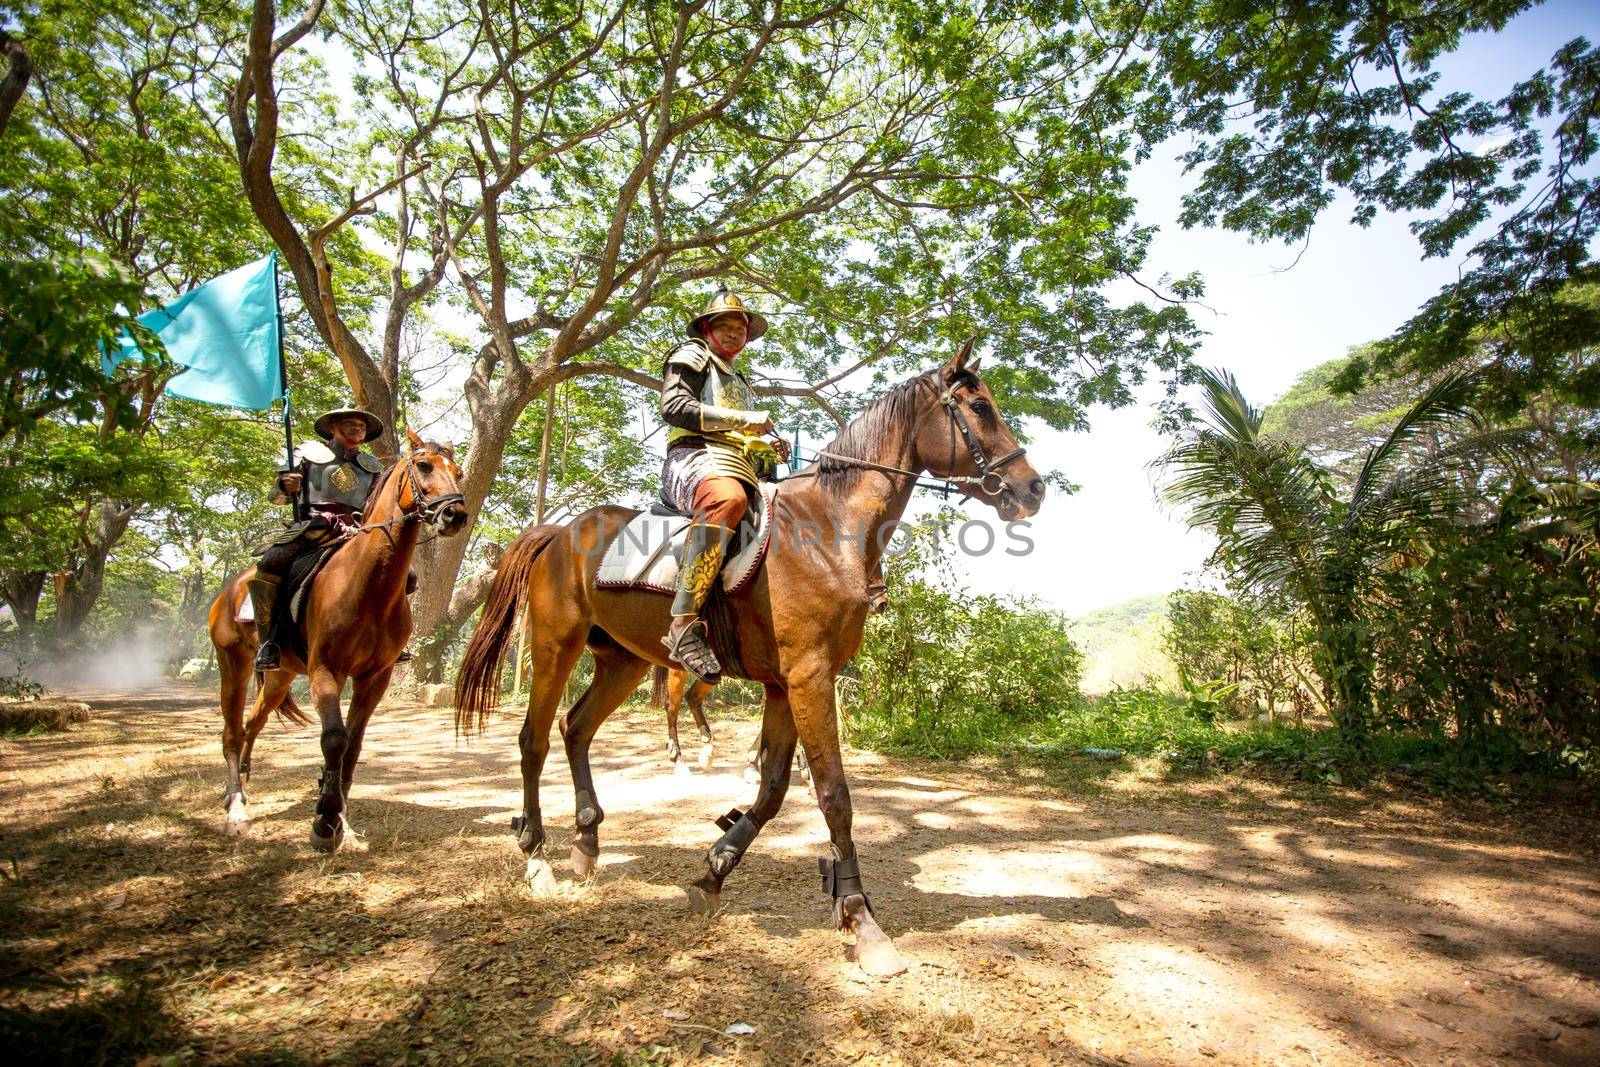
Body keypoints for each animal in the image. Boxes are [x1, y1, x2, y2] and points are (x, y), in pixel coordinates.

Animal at [209, 425, 467, 851]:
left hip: (280, 676)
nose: (455, 514)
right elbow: (334, 738)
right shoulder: (326, 670)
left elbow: (354, 743)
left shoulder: (374, 677)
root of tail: (230, 590)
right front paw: (326, 821)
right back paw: (235, 807)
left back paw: (245, 779)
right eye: (424, 466)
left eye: (458, 473)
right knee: (231, 730)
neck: (367, 585)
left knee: (252, 721)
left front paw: (339, 811)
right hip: (233, 662)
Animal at [457, 342, 1043, 979]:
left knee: (576, 729)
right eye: (979, 407)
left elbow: (774, 789)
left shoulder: (787, 685)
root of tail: (559, 533)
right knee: (534, 740)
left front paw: (715, 868)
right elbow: (834, 796)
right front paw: (861, 920)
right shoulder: (810, 678)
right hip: (554, 648)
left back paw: (587, 844)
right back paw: (536, 857)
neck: (828, 529)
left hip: (623, 663)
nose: (1033, 488)